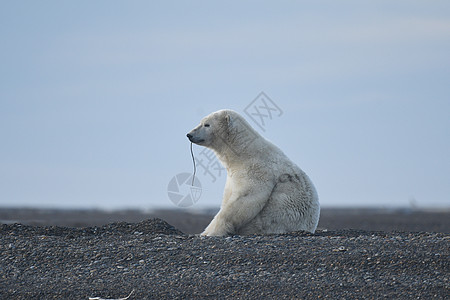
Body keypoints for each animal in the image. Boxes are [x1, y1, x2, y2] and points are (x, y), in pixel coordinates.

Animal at [186, 109, 320, 236]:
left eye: (206, 124)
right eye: (201, 122)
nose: (189, 134)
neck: (242, 151)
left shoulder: (256, 169)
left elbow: (246, 196)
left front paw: (211, 231)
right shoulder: (232, 175)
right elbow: (228, 196)